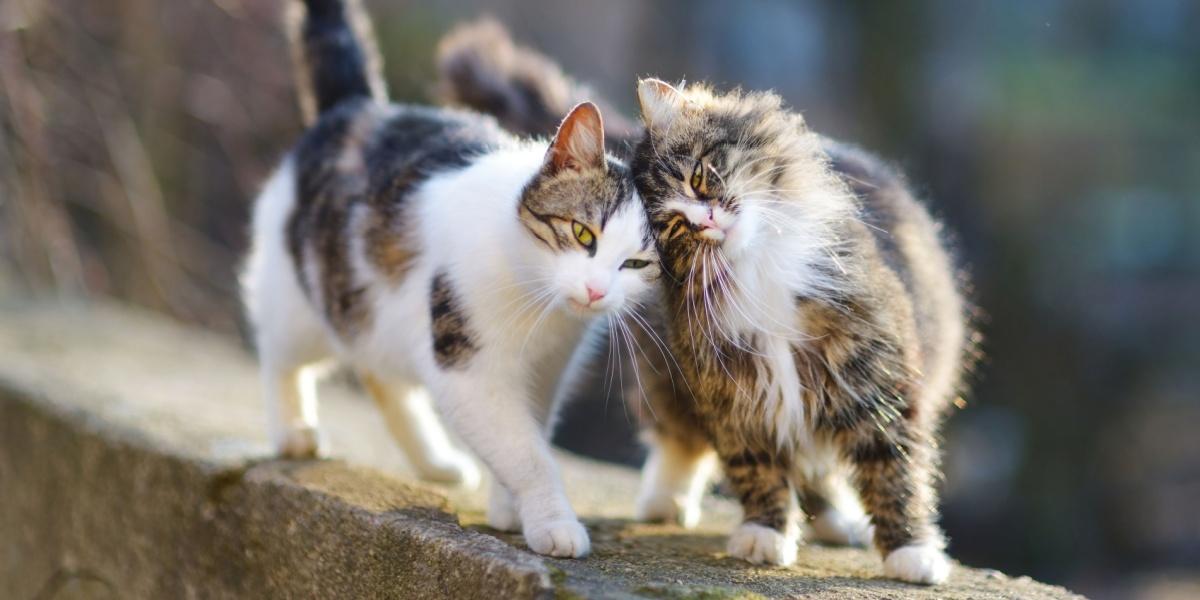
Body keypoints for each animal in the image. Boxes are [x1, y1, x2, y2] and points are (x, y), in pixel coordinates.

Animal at [436, 22, 969, 580]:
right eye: (674, 226)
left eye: (698, 177)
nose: (707, 219)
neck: (756, 271)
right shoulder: (731, 386)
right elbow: (756, 466)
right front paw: (765, 534)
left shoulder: (870, 372)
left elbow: (893, 468)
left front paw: (912, 551)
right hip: (665, 373)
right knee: (682, 441)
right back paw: (666, 501)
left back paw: (836, 521)